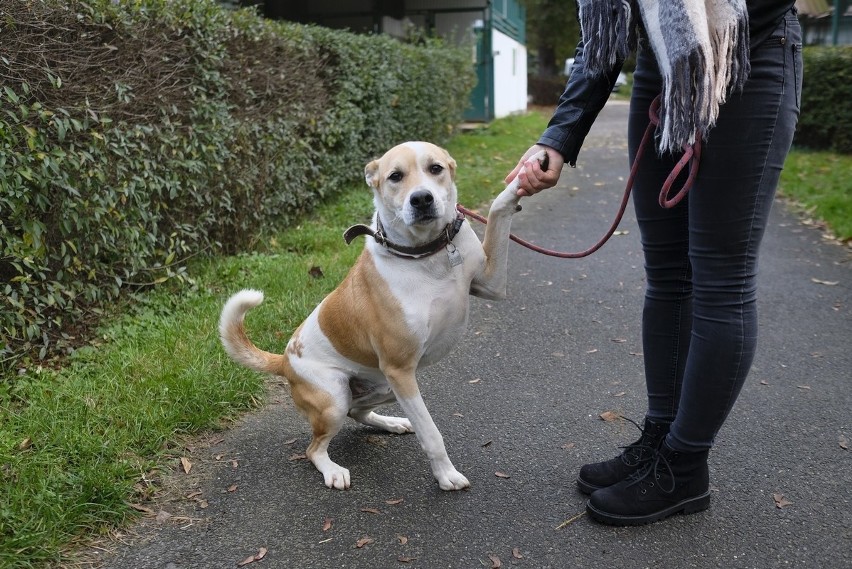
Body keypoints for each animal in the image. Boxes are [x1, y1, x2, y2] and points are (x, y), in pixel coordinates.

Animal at [216, 141, 544, 488]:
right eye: (395, 176)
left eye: (436, 169)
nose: (421, 198)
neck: (427, 255)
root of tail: (284, 359)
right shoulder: (400, 370)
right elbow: (431, 433)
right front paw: (446, 475)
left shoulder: (491, 284)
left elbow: (498, 209)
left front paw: (529, 169)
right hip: (338, 397)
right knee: (314, 447)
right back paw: (333, 470)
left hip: (383, 388)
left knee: (357, 413)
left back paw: (391, 423)